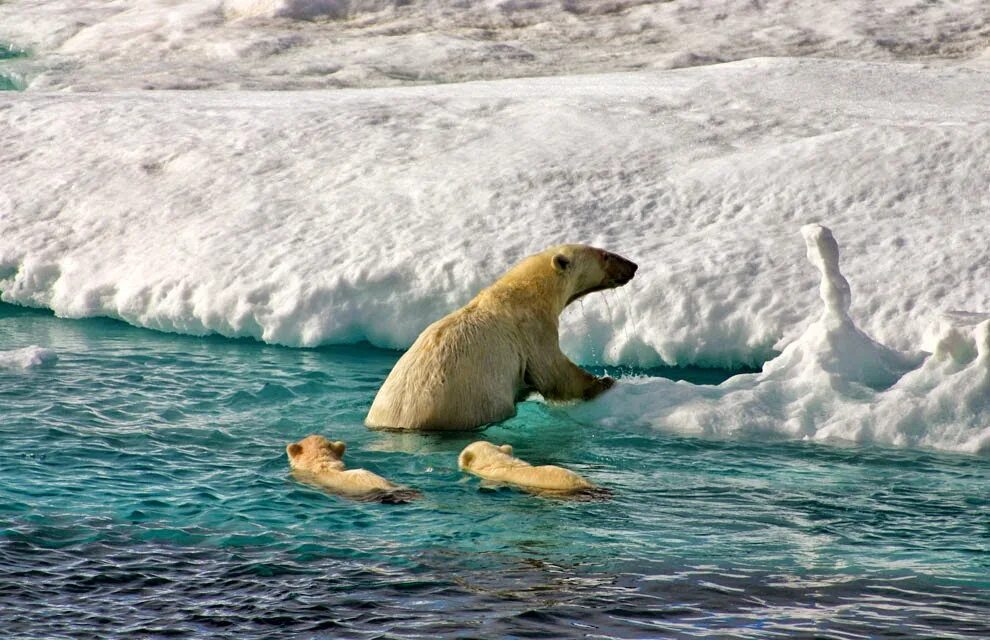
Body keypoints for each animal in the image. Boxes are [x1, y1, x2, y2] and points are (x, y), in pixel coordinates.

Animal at [368, 245, 640, 430]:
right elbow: (553, 372)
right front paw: (604, 381)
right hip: (465, 407)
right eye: (605, 255)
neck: (523, 292)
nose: (634, 266)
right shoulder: (533, 330)